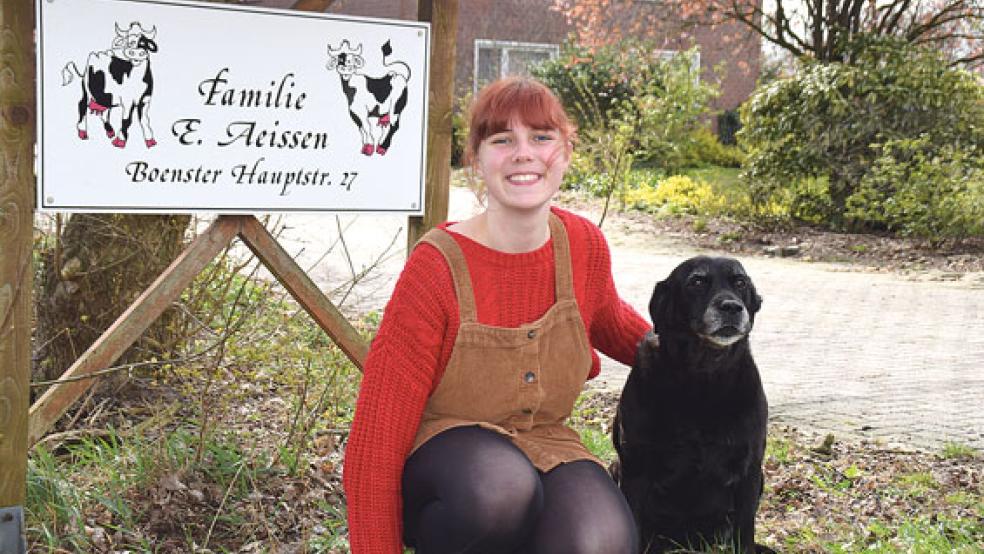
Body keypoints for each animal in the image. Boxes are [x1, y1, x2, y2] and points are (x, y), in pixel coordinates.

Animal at [612, 256, 772, 548]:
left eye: (740, 282)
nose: (732, 307)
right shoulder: (636, 467)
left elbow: (745, 532)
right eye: (696, 282)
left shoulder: (750, 469)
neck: (702, 379)